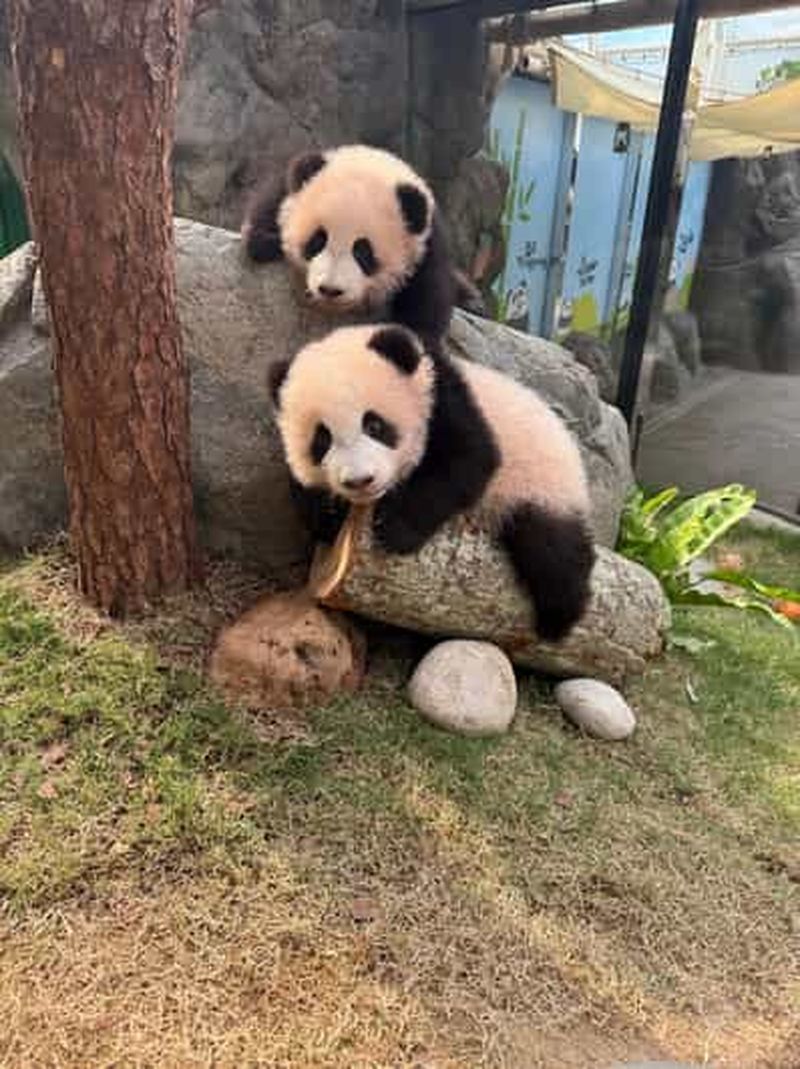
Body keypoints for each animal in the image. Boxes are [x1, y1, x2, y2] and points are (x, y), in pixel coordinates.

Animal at [242, 144, 479, 353]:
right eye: (318, 240)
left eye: (363, 252)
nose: (330, 290)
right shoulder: (289, 188)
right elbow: (270, 208)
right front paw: (266, 242)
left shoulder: (426, 244)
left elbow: (427, 300)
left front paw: (419, 341)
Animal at [269, 324, 596, 642]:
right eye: (322, 440)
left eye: (374, 425)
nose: (360, 481)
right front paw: (331, 515)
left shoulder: (441, 398)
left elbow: (467, 459)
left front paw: (394, 528)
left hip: (541, 484)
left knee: (551, 548)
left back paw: (559, 617)